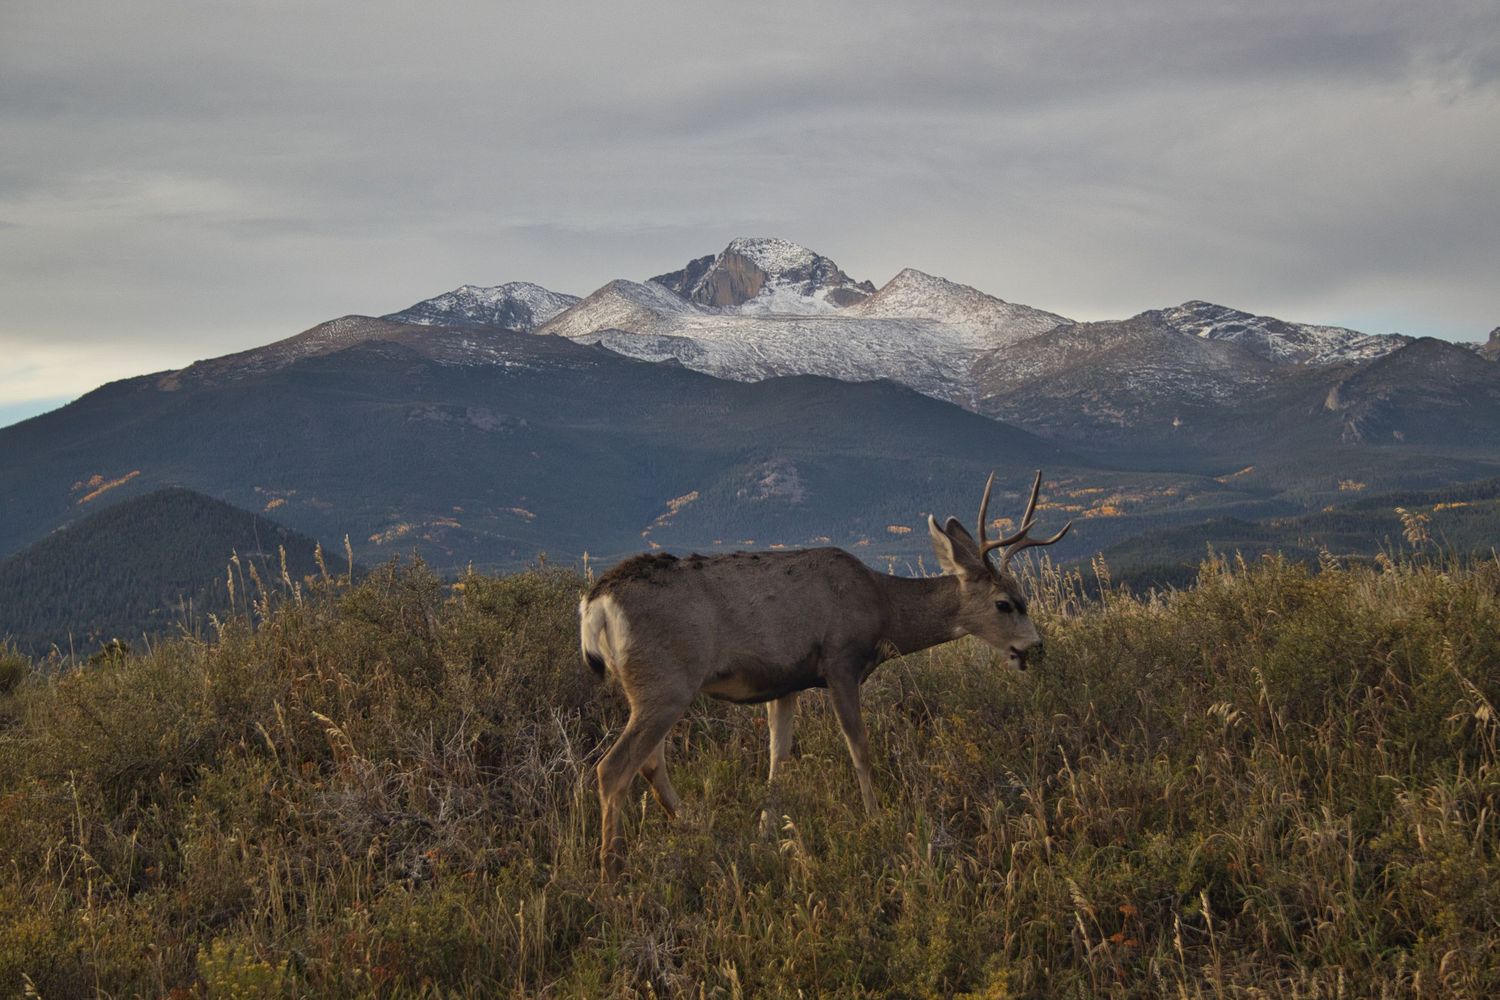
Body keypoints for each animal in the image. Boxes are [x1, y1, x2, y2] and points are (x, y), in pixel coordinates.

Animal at [578, 470, 1071, 878]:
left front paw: (766, 832)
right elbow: (860, 749)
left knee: (649, 762)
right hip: (666, 683)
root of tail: (596, 602)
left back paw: (694, 827)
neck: (883, 608)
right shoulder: (841, 662)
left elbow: (778, 757)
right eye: (1005, 603)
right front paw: (877, 818)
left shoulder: (786, 682)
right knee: (612, 768)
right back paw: (612, 872)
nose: (1035, 648)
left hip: (655, 686)